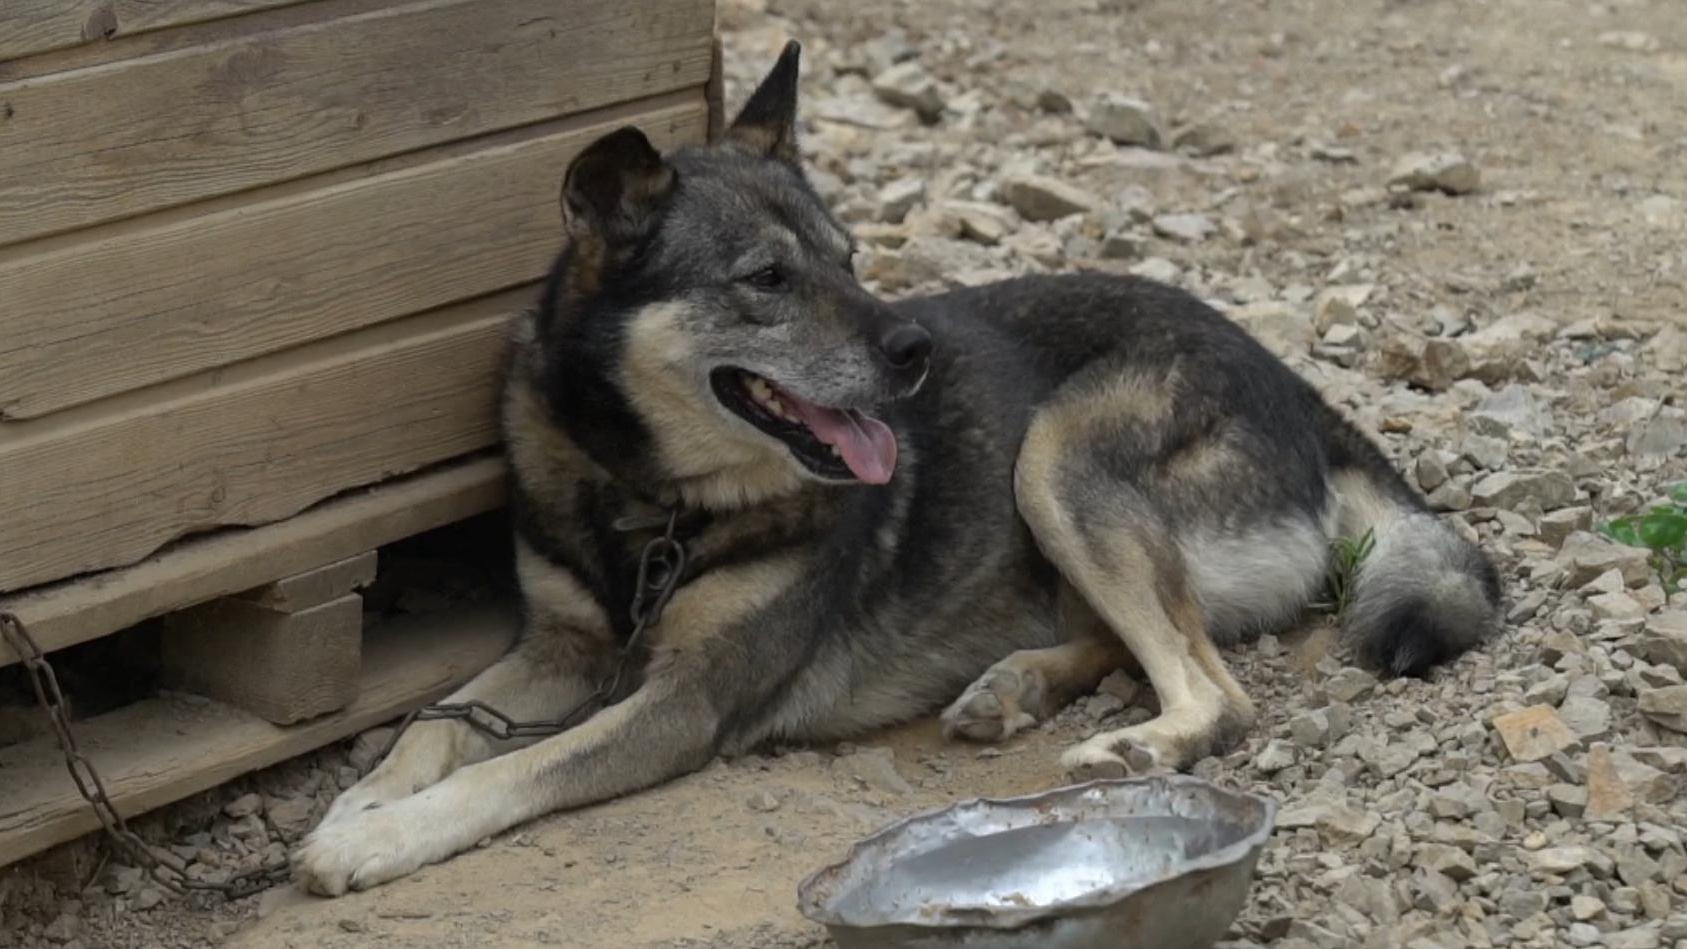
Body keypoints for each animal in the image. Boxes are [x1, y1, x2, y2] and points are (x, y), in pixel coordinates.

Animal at [293, 38, 1504, 896]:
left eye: (849, 258)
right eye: (767, 278)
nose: (915, 351)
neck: (652, 497)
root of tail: (1305, 397)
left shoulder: (682, 704)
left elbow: (512, 767)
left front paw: (381, 839)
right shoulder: (561, 645)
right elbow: (437, 720)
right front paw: (355, 806)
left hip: (1055, 456)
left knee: (1215, 689)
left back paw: (1127, 743)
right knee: (1130, 638)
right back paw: (1011, 688)